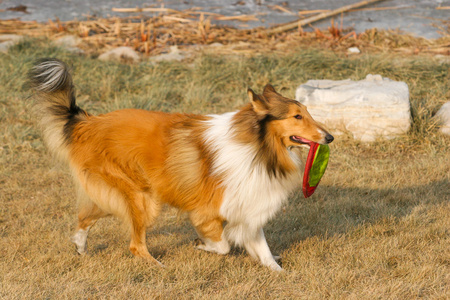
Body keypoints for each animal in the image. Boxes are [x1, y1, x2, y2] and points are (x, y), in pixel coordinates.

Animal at [27, 57, 330, 270]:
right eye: (296, 116)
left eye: (307, 112)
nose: (330, 137)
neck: (258, 148)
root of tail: (87, 123)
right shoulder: (208, 211)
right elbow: (223, 245)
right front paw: (201, 246)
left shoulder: (248, 205)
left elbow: (263, 250)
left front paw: (279, 271)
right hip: (143, 198)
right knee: (135, 245)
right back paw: (159, 266)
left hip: (122, 192)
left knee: (86, 216)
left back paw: (80, 246)